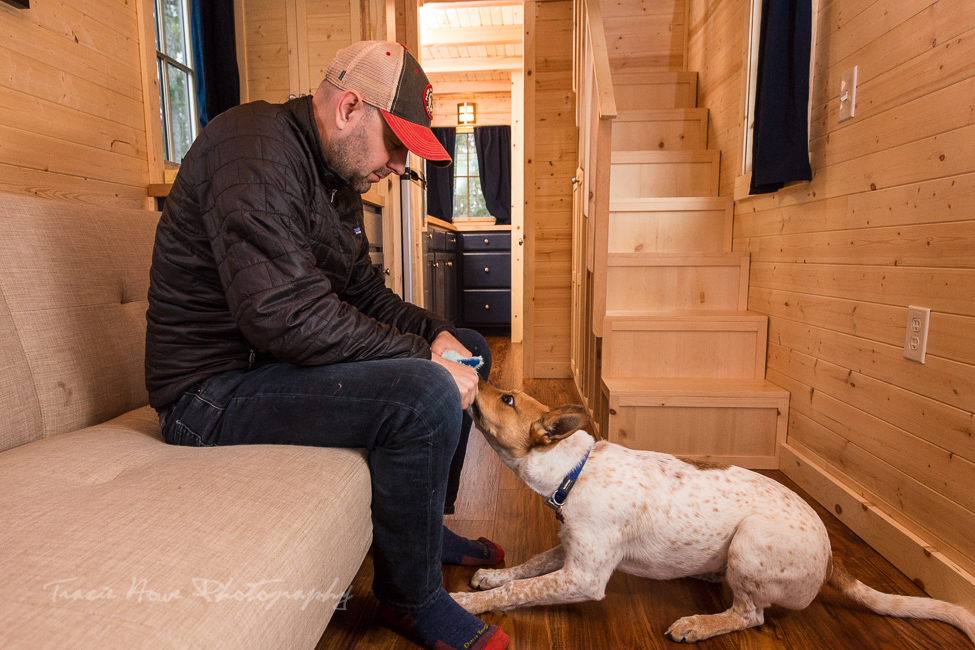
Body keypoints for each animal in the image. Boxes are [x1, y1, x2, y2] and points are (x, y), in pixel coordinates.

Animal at [454, 380, 975, 644]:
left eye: (507, 399)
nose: (475, 378)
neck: (575, 468)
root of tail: (832, 557)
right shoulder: (569, 552)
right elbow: (526, 568)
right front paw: (490, 576)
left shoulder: (583, 576)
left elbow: (520, 591)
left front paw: (466, 604)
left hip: (750, 543)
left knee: (750, 615)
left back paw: (699, 624)